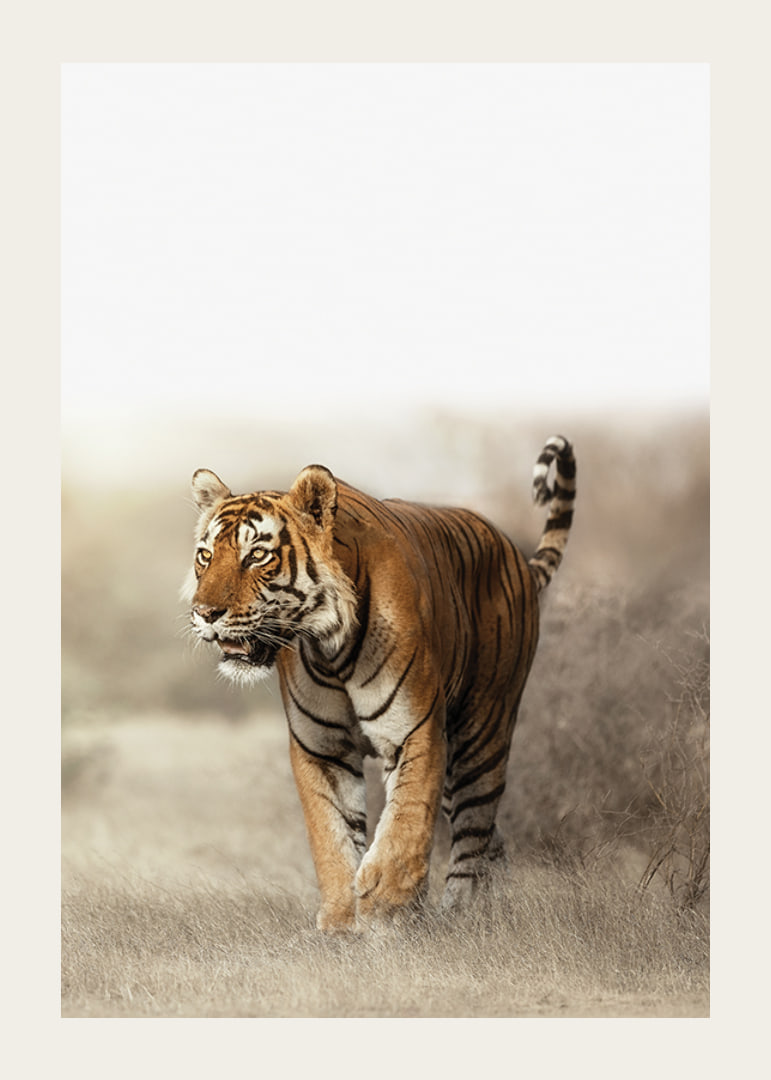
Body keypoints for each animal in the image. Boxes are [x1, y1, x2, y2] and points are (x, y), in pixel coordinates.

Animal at [182, 435, 576, 932]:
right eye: (206, 555)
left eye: (257, 555)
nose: (204, 613)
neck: (328, 647)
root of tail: (517, 558)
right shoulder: (321, 747)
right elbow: (331, 835)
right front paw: (340, 920)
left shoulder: (415, 731)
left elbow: (405, 822)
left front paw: (384, 905)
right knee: (491, 837)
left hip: (481, 734)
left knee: (474, 831)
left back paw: (460, 913)